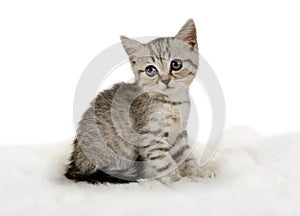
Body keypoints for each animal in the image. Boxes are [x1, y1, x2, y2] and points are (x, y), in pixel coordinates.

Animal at [65, 19, 204, 184]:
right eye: (150, 70)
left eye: (176, 64)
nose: (165, 80)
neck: (173, 103)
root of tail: (74, 166)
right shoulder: (151, 138)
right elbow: (165, 163)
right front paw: (177, 181)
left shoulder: (179, 133)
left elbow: (186, 156)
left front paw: (197, 175)